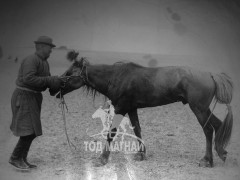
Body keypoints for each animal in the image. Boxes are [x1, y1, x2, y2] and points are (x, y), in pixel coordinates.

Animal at [50, 50, 232, 167]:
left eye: (69, 72)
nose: (52, 89)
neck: (115, 77)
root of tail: (210, 75)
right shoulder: (131, 108)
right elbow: (137, 129)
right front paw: (141, 154)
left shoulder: (121, 108)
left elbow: (111, 133)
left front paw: (102, 158)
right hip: (203, 109)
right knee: (217, 125)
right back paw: (221, 153)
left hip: (199, 109)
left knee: (208, 130)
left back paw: (207, 160)